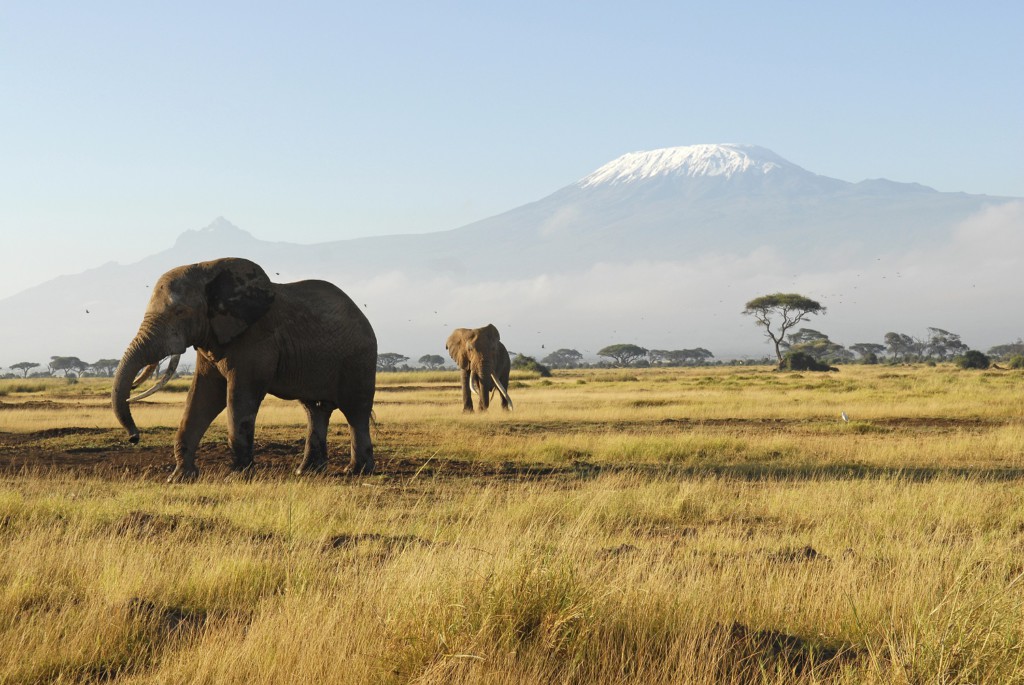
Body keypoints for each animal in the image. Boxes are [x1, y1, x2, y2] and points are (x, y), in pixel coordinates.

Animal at [112, 258, 376, 481]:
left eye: (180, 312)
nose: (134, 437)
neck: (207, 269)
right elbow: (203, 396)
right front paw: (179, 478)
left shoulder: (255, 339)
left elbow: (239, 397)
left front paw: (237, 476)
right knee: (315, 410)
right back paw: (306, 472)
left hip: (359, 359)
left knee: (356, 411)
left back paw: (357, 471)